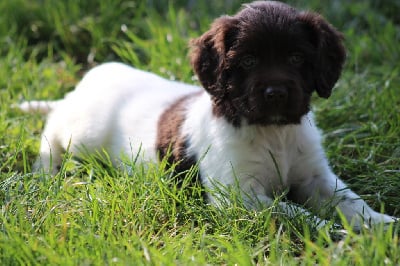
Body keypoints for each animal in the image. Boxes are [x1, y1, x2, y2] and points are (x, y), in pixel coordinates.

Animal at [21, 0, 396, 229]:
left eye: (296, 58)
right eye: (248, 61)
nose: (276, 93)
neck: (272, 132)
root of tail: (93, 76)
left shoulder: (316, 177)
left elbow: (351, 202)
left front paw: (382, 226)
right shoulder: (238, 195)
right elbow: (295, 213)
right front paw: (334, 234)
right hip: (83, 133)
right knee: (54, 125)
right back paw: (44, 168)